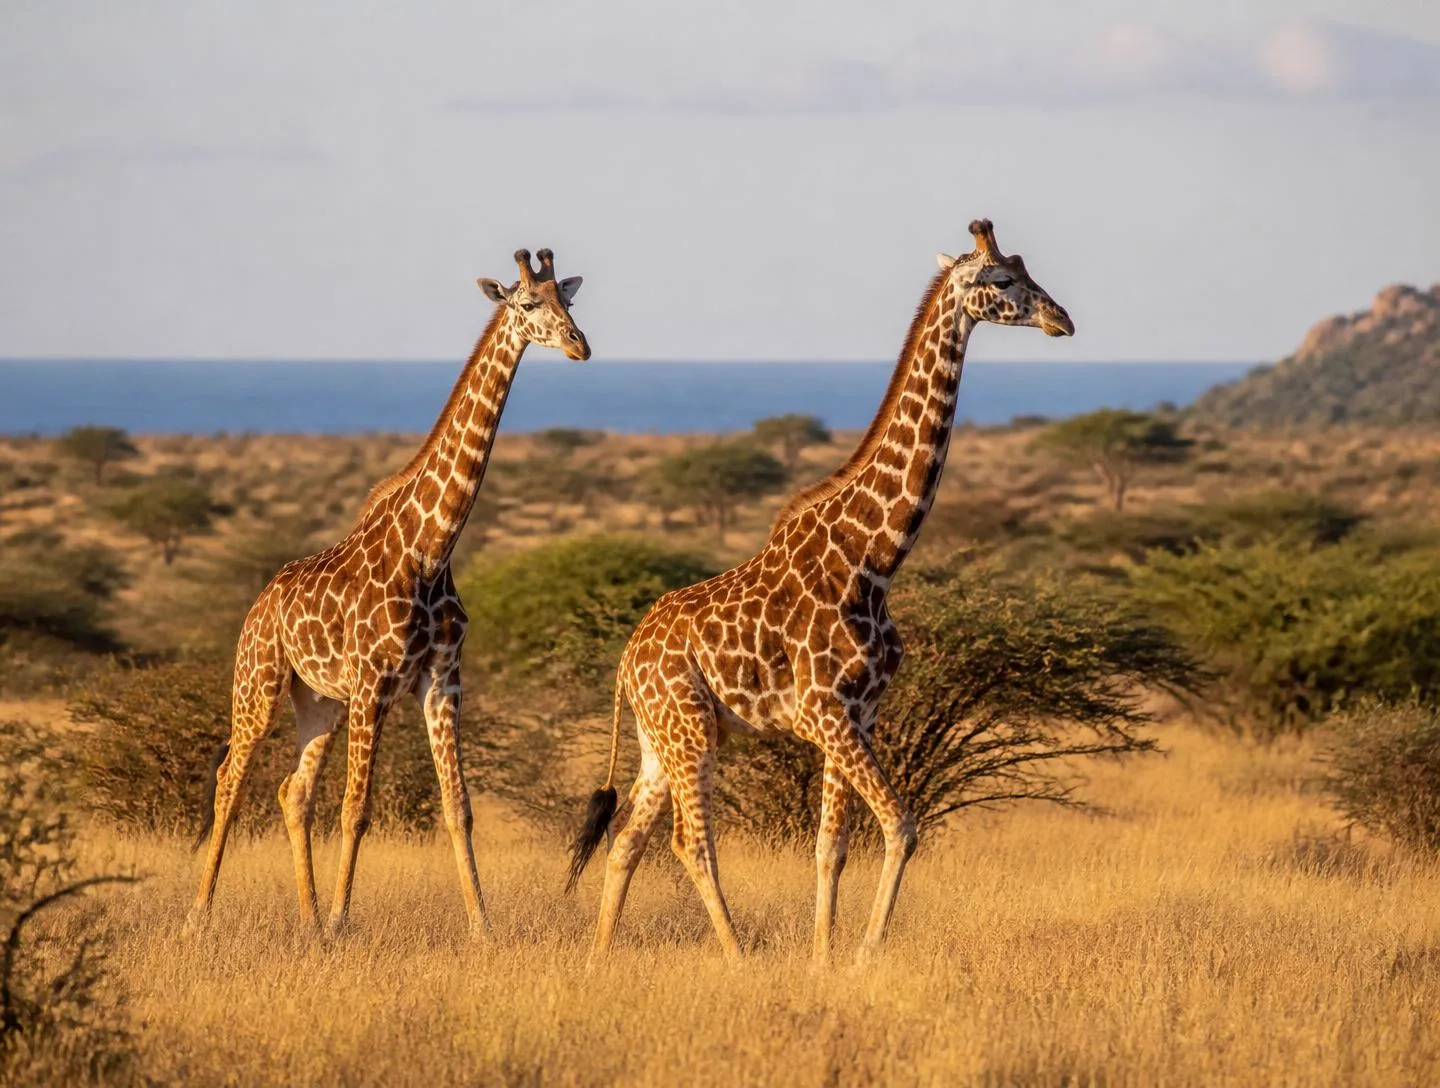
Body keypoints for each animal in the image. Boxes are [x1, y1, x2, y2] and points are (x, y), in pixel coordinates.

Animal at [188, 248, 589, 936]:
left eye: (569, 300)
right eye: (526, 303)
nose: (579, 345)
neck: (431, 549)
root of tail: (259, 602)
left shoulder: (442, 680)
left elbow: (459, 806)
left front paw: (482, 927)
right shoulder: (373, 682)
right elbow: (357, 809)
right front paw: (342, 922)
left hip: (319, 700)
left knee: (292, 791)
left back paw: (305, 919)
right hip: (260, 682)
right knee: (230, 779)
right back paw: (200, 915)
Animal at [567, 220, 1072, 962]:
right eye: (1003, 280)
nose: (1062, 319)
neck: (874, 559)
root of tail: (626, 662)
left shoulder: (859, 713)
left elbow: (830, 846)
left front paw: (823, 961)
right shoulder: (824, 712)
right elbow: (901, 827)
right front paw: (862, 957)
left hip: (661, 737)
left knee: (627, 838)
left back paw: (601, 958)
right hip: (690, 728)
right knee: (689, 842)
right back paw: (739, 958)